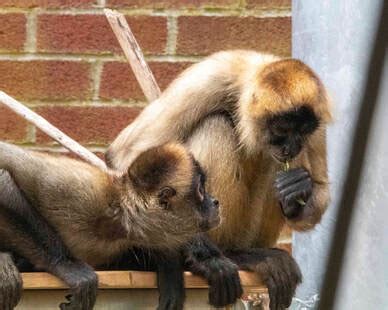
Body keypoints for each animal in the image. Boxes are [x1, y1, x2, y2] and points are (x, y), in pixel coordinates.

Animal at [107, 49, 332, 308]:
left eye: (303, 131)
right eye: (282, 130)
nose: (293, 147)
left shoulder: (318, 109)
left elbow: (320, 188)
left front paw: (298, 189)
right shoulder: (211, 78)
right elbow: (121, 157)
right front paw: (202, 257)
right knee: (217, 123)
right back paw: (232, 255)